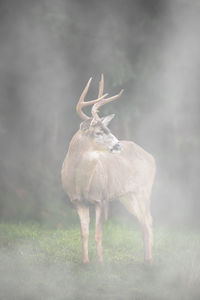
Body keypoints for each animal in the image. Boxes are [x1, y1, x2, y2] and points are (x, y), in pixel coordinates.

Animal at [61, 75, 155, 264]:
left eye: (108, 129)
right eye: (98, 132)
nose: (118, 145)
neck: (80, 181)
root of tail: (151, 157)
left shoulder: (102, 198)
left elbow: (98, 234)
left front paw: (101, 263)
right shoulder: (77, 201)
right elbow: (84, 233)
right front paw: (85, 262)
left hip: (144, 189)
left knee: (149, 221)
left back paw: (150, 261)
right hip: (127, 196)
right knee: (142, 221)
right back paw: (145, 259)